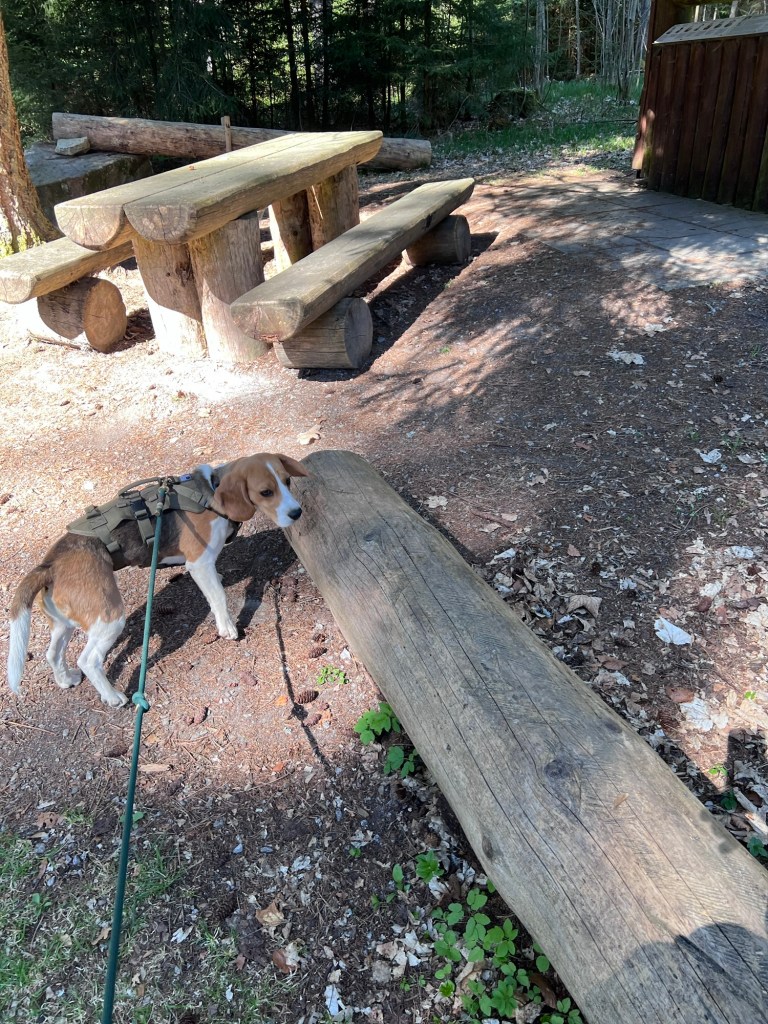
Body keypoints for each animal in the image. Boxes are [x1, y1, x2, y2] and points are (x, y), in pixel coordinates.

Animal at [7, 453, 308, 708]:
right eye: (265, 492)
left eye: (287, 481)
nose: (297, 513)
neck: (210, 492)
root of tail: (49, 564)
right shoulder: (198, 563)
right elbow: (219, 597)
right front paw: (227, 628)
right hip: (109, 617)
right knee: (88, 660)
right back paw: (113, 696)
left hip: (63, 623)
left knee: (53, 654)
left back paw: (65, 679)